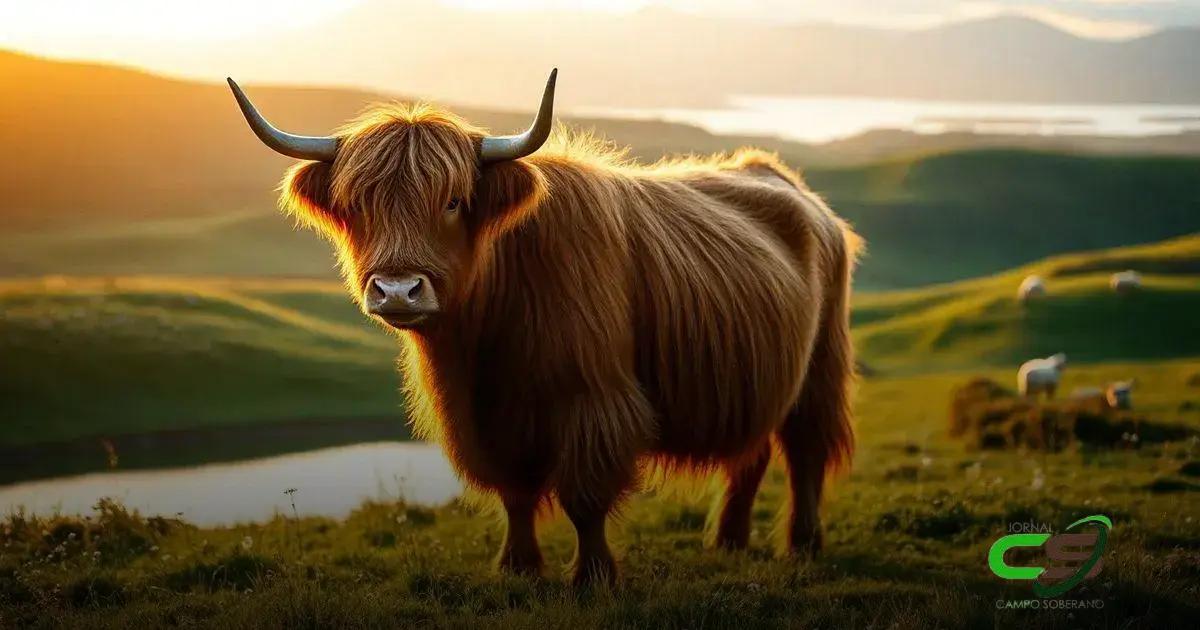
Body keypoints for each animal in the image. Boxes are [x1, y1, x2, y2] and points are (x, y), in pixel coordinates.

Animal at [228, 71, 860, 586]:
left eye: (453, 201)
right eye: (358, 205)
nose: (398, 290)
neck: (485, 344)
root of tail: (785, 182)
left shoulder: (595, 400)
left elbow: (585, 497)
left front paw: (593, 578)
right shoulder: (484, 420)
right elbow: (515, 492)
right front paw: (518, 567)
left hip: (820, 366)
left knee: (805, 450)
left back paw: (802, 546)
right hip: (755, 378)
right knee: (751, 454)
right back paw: (727, 542)